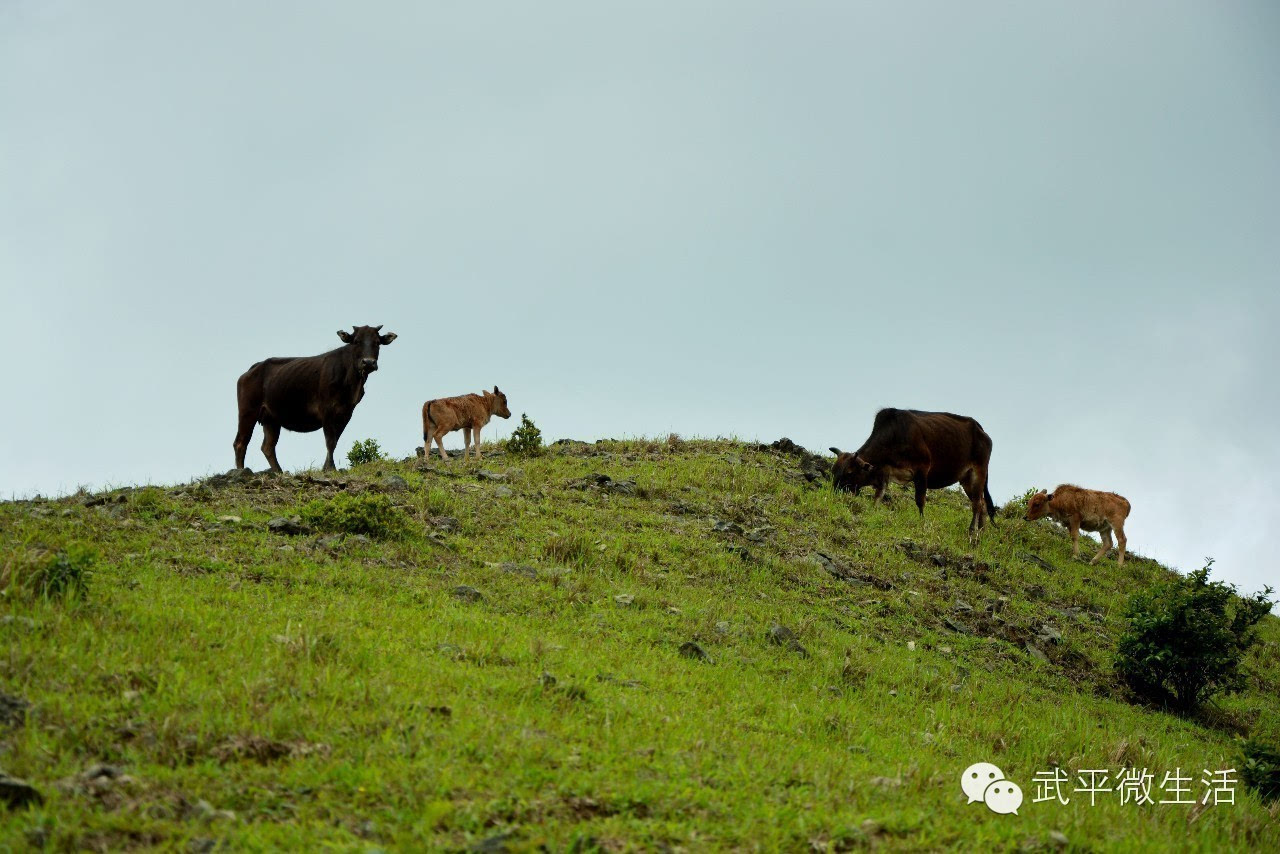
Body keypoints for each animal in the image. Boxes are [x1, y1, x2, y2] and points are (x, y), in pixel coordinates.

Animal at [232, 325, 396, 473]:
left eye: (377, 342)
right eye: (356, 341)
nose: (368, 362)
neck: (351, 382)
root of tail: (253, 368)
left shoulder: (346, 413)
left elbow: (335, 440)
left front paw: (326, 468)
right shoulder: (327, 410)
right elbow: (330, 441)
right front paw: (330, 468)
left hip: (271, 418)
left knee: (268, 447)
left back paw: (279, 472)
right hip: (248, 411)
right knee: (240, 443)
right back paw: (241, 471)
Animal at [829, 409, 998, 540]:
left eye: (849, 473)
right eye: (833, 471)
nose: (834, 493)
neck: (894, 437)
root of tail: (981, 430)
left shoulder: (922, 470)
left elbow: (920, 500)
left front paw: (922, 523)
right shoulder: (885, 472)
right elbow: (878, 496)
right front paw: (873, 511)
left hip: (978, 472)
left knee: (977, 504)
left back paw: (972, 531)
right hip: (966, 479)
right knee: (982, 503)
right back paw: (982, 532)